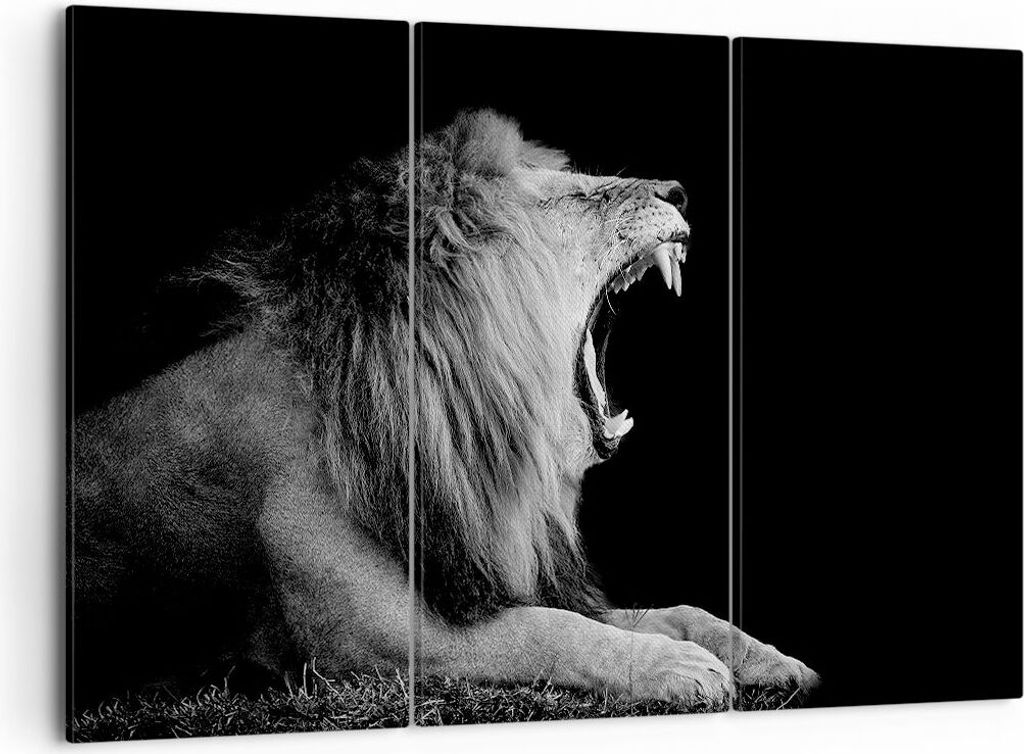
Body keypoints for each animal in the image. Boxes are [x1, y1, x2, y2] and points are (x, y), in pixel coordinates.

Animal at [69, 109, 817, 718]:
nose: (679, 192)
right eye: (573, 196)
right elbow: (549, 631)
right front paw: (675, 666)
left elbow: (673, 609)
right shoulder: (371, 641)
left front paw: (766, 657)